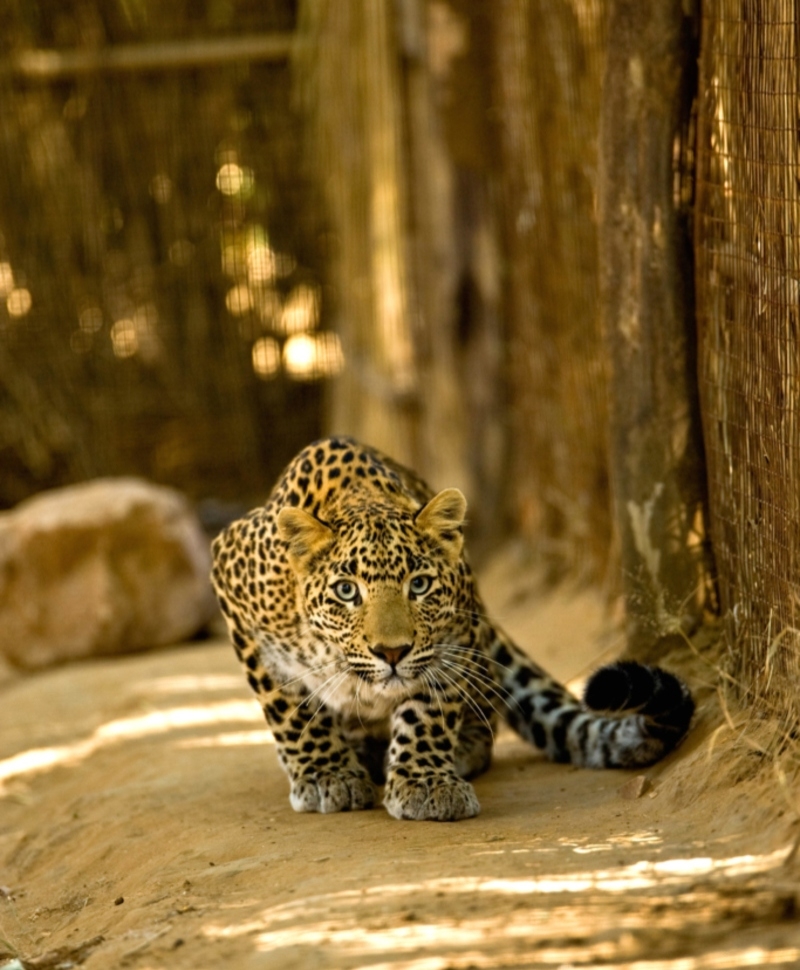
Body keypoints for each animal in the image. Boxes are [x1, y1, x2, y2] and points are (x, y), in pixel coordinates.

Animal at [212, 434, 692, 820]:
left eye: (419, 585)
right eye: (346, 591)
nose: (392, 653)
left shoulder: (453, 638)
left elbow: (428, 711)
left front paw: (424, 783)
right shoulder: (231, 581)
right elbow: (290, 708)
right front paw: (326, 775)